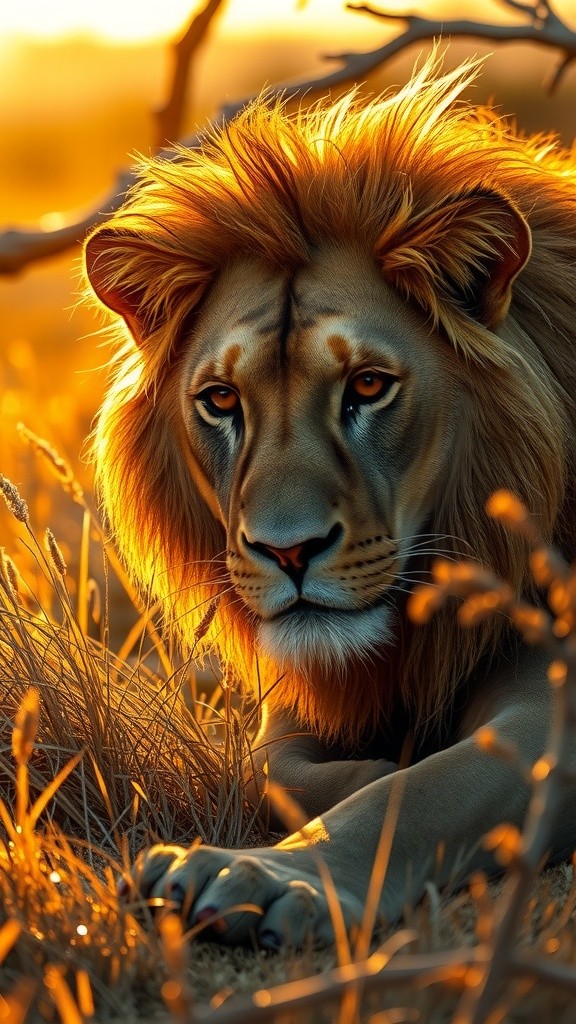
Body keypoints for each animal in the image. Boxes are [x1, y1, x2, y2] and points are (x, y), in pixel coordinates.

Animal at [84, 57, 576, 949]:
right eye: (220, 400)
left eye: (369, 386)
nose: (289, 552)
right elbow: (266, 763)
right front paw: (377, 760)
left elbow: (420, 793)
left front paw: (258, 873)